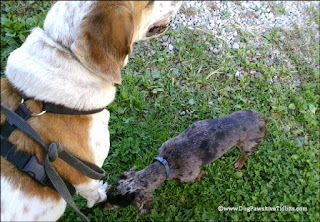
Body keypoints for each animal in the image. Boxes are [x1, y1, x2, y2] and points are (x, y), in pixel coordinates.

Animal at [100, 110, 268, 214]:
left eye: (115, 205)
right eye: (107, 194)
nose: (100, 206)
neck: (165, 163)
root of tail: (262, 118)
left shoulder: (193, 173)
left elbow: (195, 177)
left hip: (246, 146)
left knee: (245, 155)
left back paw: (239, 164)